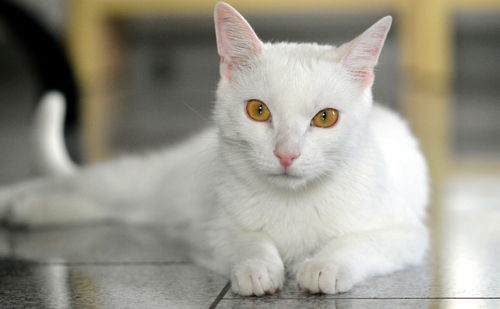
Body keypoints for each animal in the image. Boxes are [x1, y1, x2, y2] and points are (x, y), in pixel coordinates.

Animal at [0, 2, 430, 296]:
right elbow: (246, 239)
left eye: (325, 118)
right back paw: (16, 202)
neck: (292, 202)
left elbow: (359, 242)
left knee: (104, 205)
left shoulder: (407, 233)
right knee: (93, 184)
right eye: (258, 110)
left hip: (143, 203)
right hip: (145, 181)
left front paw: (324, 265)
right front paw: (258, 267)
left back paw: (28, 210)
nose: (286, 154)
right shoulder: (213, 228)